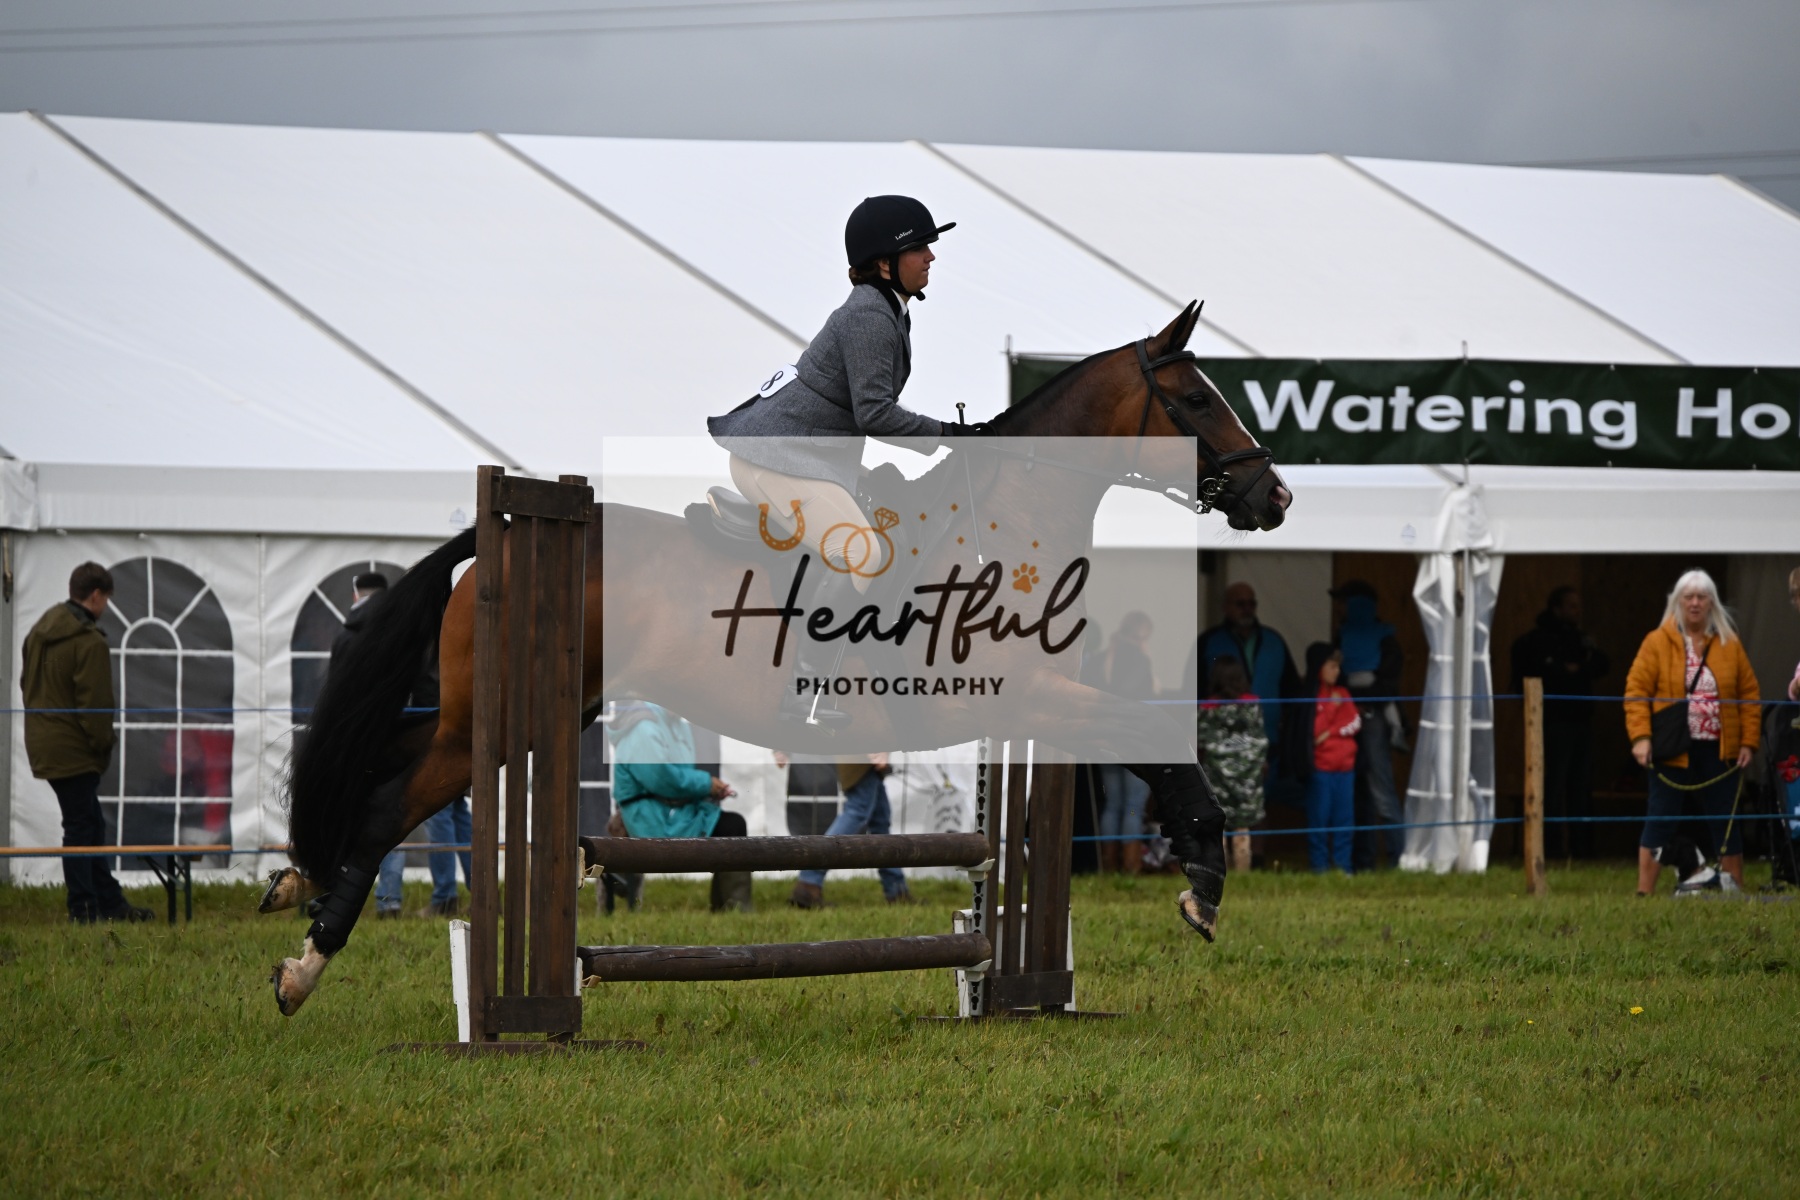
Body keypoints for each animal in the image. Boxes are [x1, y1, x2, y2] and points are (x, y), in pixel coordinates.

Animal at [264, 302, 1291, 1016]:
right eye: (1195, 399)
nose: (1274, 497)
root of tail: (496, 539)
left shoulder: (1029, 696)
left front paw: (1194, 880)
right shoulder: (1021, 695)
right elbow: (1149, 734)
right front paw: (1204, 882)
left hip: (504, 716)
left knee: (387, 777)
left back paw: (297, 886)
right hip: (498, 718)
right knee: (388, 801)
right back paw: (306, 968)